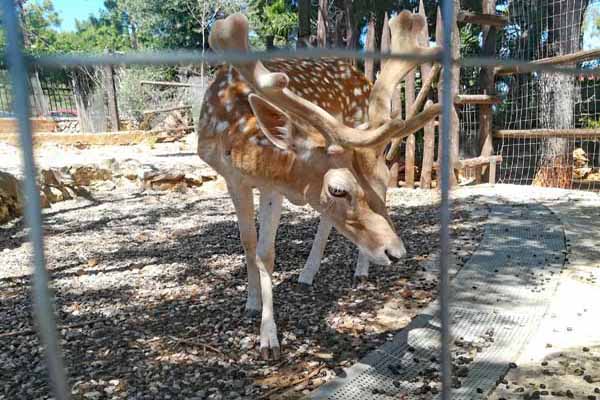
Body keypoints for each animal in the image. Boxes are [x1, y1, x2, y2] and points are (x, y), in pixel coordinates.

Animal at [199, 10, 438, 360]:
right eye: (338, 189)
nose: (397, 252)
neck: (241, 143)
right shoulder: (232, 178)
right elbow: (247, 243)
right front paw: (252, 303)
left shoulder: (273, 186)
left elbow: (266, 252)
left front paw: (268, 339)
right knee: (328, 216)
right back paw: (308, 273)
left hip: (371, 149)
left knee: (383, 185)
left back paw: (360, 269)